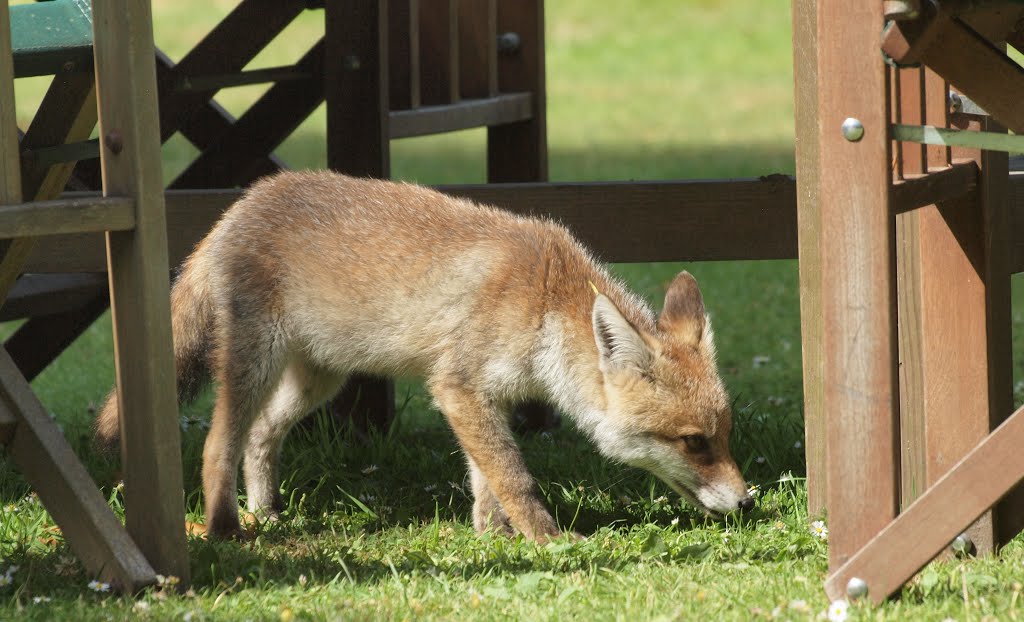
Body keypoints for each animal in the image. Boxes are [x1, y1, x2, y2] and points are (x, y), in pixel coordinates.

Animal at [97, 169, 753, 541]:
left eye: (726, 436)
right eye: (695, 443)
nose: (749, 502)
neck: (543, 303)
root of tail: (242, 203)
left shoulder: (486, 399)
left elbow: (486, 481)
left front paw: (493, 541)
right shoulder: (458, 387)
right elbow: (513, 478)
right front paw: (549, 541)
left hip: (320, 381)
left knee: (260, 435)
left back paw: (266, 515)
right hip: (255, 364)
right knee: (218, 443)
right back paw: (225, 529)